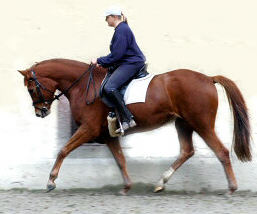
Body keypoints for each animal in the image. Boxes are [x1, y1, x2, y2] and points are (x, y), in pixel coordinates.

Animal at [18, 58, 250, 194]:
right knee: (187, 151)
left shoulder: (88, 129)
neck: (84, 86)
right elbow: (120, 160)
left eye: (31, 89)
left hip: (201, 123)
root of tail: (208, 79)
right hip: (183, 123)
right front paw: (126, 187)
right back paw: (161, 182)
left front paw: (51, 181)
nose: (41, 112)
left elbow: (63, 150)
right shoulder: (107, 135)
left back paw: (231, 188)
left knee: (221, 151)